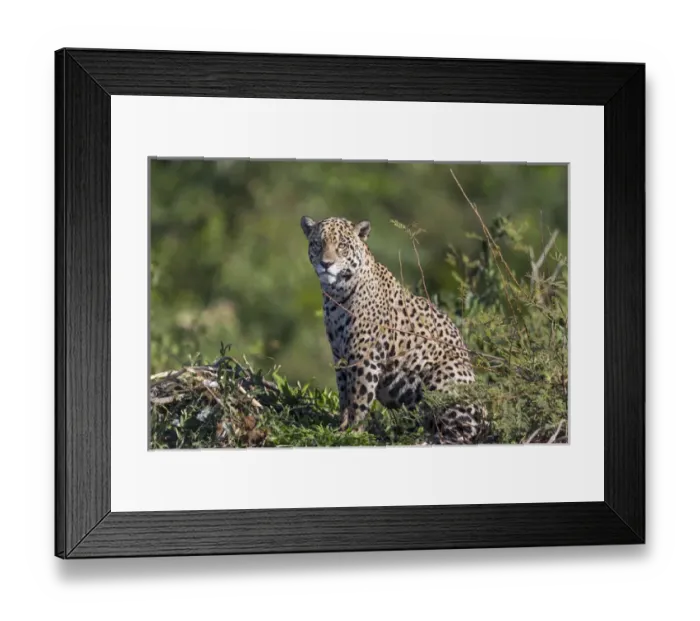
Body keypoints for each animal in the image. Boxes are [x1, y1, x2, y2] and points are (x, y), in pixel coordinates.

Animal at [300, 215, 489, 445]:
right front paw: (341, 425)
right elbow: (345, 394)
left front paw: (353, 431)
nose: (326, 264)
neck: (336, 294)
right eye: (317, 244)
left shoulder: (364, 356)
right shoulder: (340, 356)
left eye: (342, 246)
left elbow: (359, 397)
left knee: (459, 434)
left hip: (446, 378)